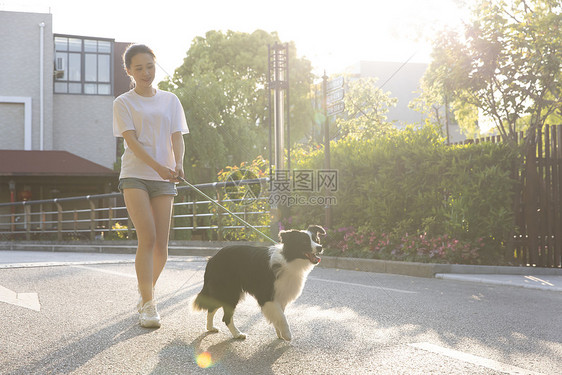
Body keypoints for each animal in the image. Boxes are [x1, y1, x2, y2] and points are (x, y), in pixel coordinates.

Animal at [191, 225, 324, 342]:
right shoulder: (267, 296)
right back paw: (237, 334)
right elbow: (281, 316)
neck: (288, 261)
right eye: (304, 242)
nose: (320, 247)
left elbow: (278, 315)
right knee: (226, 317)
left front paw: (280, 333)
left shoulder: (280, 296)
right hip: (230, 292)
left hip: (225, 292)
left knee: (211, 308)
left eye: (316, 239)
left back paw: (210, 328)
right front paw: (287, 334)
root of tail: (212, 259)